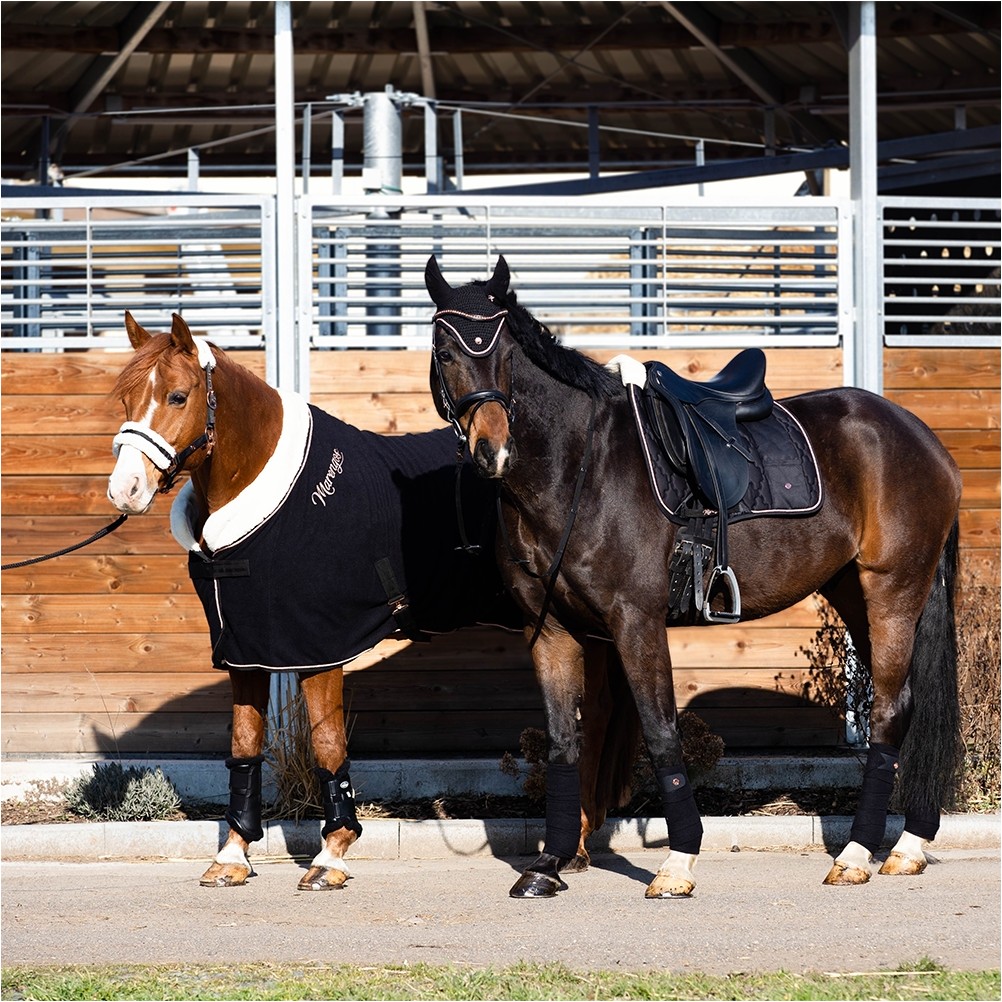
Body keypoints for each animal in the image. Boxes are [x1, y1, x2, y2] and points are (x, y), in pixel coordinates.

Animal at [107, 312, 641, 893]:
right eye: (125, 398)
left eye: (178, 396)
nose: (125, 489)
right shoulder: (246, 651)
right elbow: (244, 747)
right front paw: (232, 856)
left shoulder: (317, 648)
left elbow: (328, 745)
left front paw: (331, 856)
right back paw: (577, 845)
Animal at [424, 256, 961, 901]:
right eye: (444, 349)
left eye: (504, 349)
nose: (493, 450)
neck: (580, 467)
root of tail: (918, 435)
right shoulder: (550, 630)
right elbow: (562, 742)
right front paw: (548, 863)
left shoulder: (635, 622)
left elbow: (660, 733)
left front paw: (678, 863)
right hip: (854, 592)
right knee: (912, 704)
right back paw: (908, 845)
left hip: (893, 591)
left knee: (888, 712)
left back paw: (857, 854)